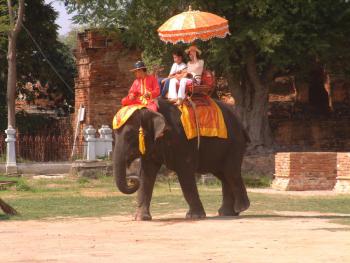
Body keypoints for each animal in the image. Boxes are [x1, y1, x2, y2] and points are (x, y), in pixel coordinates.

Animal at [113, 98, 250, 222]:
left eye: (129, 135)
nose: (131, 178)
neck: (151, 109)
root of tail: (241, 124)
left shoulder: (182, 141)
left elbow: (185, 173)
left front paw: (194, 216)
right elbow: (147, 175)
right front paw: (140, 218)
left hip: (234, 144)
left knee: (231, 172)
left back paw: (241, 208)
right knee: (223, 175)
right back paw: (228, 213)